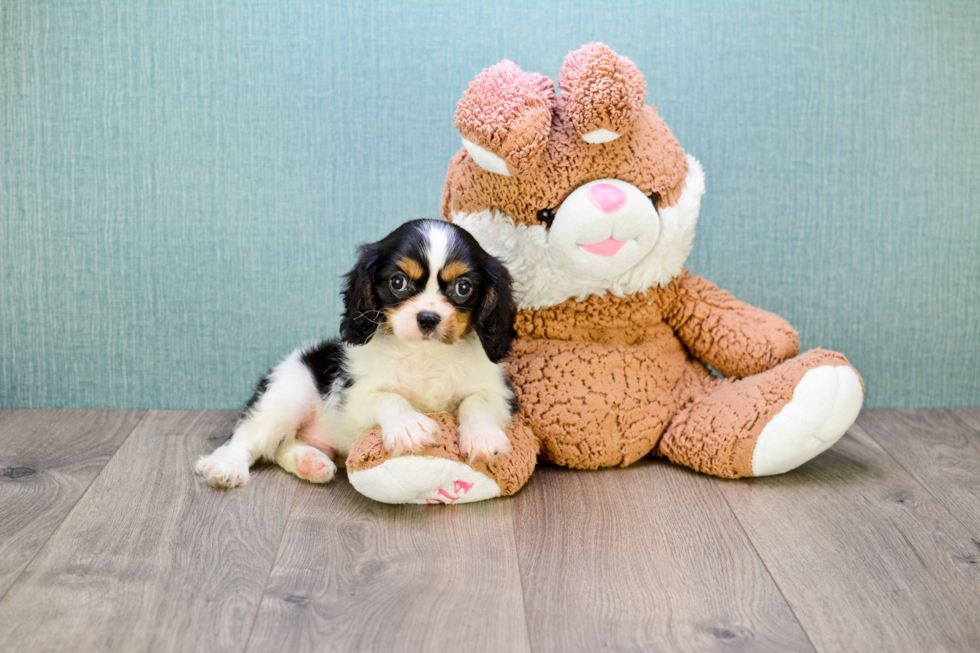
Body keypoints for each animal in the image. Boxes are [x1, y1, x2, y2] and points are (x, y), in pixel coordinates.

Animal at [190, 220, 512, 488]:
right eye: (398, 282)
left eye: (463, 287)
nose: (428, 318)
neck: (425, 353)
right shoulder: (353, 399)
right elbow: (388, 397)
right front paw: (408, 426)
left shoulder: (501, 395)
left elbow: (477, 401)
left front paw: (483, 436)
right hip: (288, 393)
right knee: (246, 437)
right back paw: (225, 466)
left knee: (280, 446)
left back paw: (309, 461)